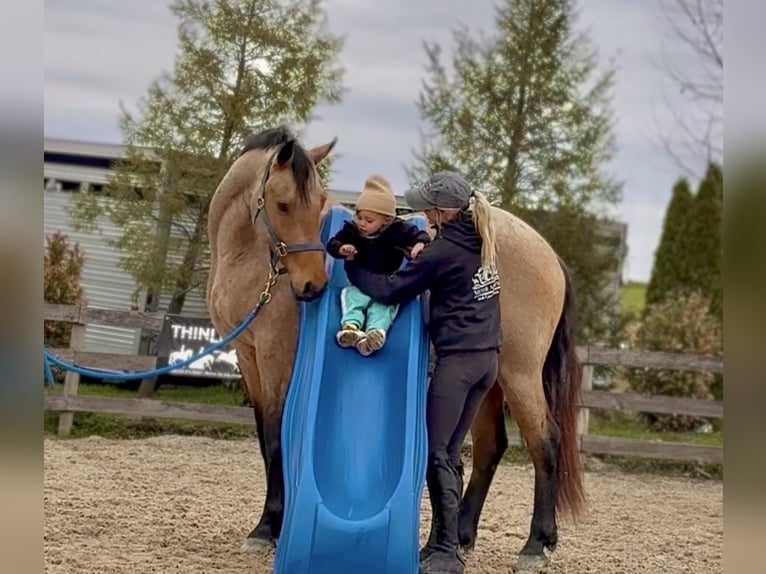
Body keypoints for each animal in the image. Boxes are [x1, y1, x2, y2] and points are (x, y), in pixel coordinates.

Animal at [206, 125, 585, 572]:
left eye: (316, 203)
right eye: (284, 205)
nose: (313, 285)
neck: (247, 261)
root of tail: (549, 255)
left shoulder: (275, 358)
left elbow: (277, 438)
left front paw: (266, 528)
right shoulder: (248, 358)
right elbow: (267, 440)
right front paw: (269, 526)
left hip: (519, 373)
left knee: (544, 440)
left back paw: (534, 545)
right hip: (491, 382)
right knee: (491, 447)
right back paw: (462, 536)